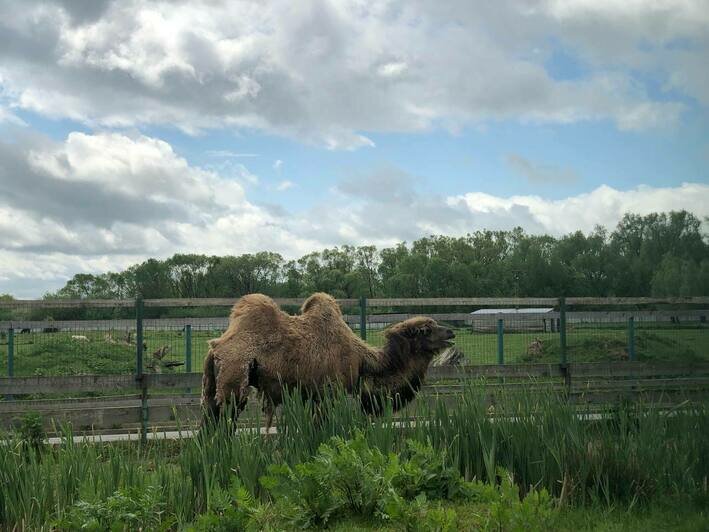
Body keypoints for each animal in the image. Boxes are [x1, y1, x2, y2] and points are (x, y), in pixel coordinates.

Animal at [199, 294, 454, 426]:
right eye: (426, 330)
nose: (451, 333)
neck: (363, 361)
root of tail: (215, 347)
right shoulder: (330, 392)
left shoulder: (313, 395)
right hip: (233, 382)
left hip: (212, 388)